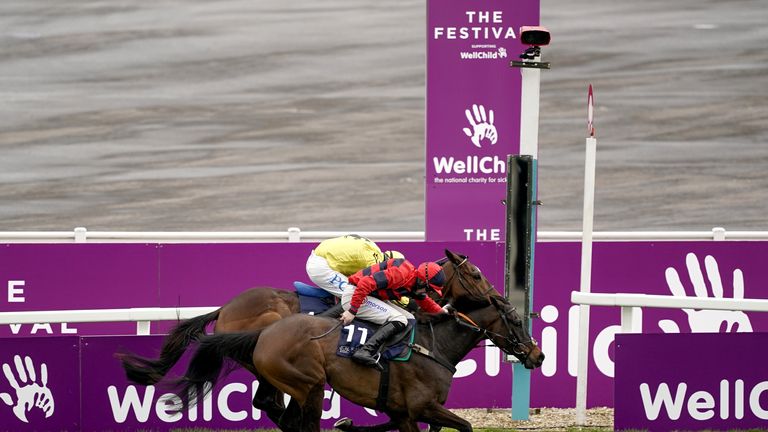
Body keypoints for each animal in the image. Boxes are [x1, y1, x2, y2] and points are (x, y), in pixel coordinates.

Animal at [170, 250, 544, 432]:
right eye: (476, 274)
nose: (537, 355)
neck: (432, 343)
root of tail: (226, 308)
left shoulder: (405, 411)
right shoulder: (418, 406)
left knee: (273, 407)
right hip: (306, 384)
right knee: (284, 413)